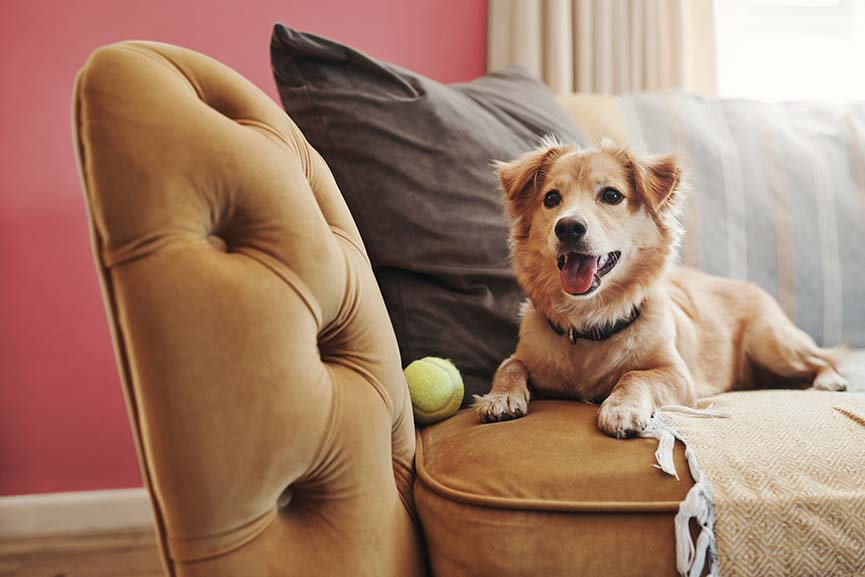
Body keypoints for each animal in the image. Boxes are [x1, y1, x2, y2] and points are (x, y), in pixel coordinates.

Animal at [470, 140, 848, 436]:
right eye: (551, 199)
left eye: (611, 195)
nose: (568, 227)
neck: (591, 323)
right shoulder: (525, 356)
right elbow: (509, 366)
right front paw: (500, 397)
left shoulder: (677, 375)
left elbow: (635, 375)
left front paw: (621, 409)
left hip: (771, 343)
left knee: (821, 359)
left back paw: (828, 380)